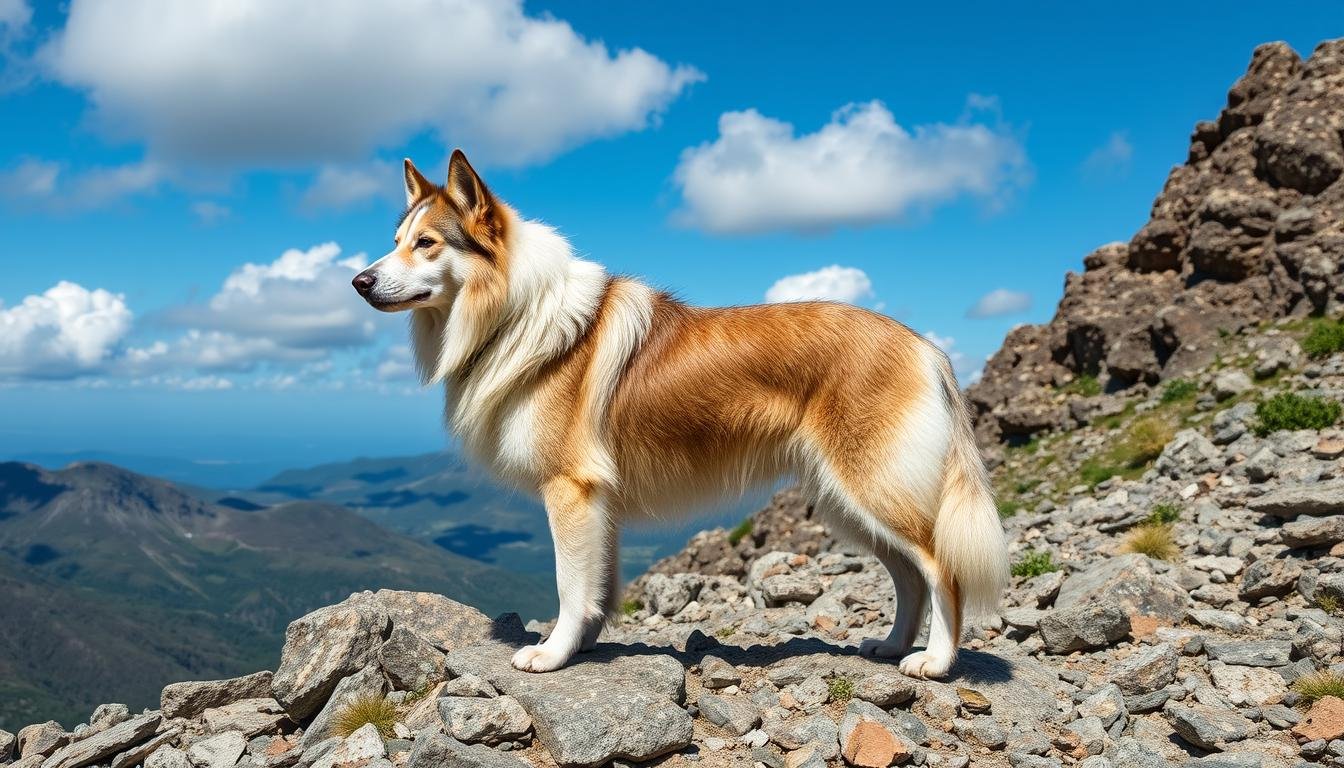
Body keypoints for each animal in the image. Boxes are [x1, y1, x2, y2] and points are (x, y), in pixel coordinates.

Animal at [357, 149, 1010, 677]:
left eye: (426, 244)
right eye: (396, 240)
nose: (359, 281)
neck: (514, 313)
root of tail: (924, 346)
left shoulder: (570, 491)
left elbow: (570, 585)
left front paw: (552, 654)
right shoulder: (599, 503)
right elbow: (598, 587)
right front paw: (584, 646)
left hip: (872, 488)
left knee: (941, 570)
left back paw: (935, 663)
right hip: (848, 501)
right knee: (909, 577)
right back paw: (893, 647)